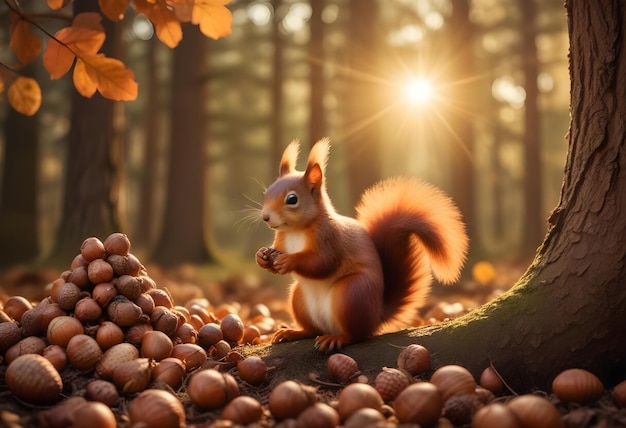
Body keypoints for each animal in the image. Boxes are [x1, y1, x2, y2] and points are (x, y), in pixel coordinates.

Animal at [255, 139, 468, 352]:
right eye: (267, 192)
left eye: (292, 199)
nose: (265, 217)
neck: (295, 231)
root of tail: (376, 316)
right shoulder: (281, 240)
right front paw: (262, 256)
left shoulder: (330, 238)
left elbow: (323, 263)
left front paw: (289, 260)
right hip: (299, 298)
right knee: (312, 330)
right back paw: (292, 332)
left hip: (351, 294)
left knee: (355, 334)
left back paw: (337, 338)